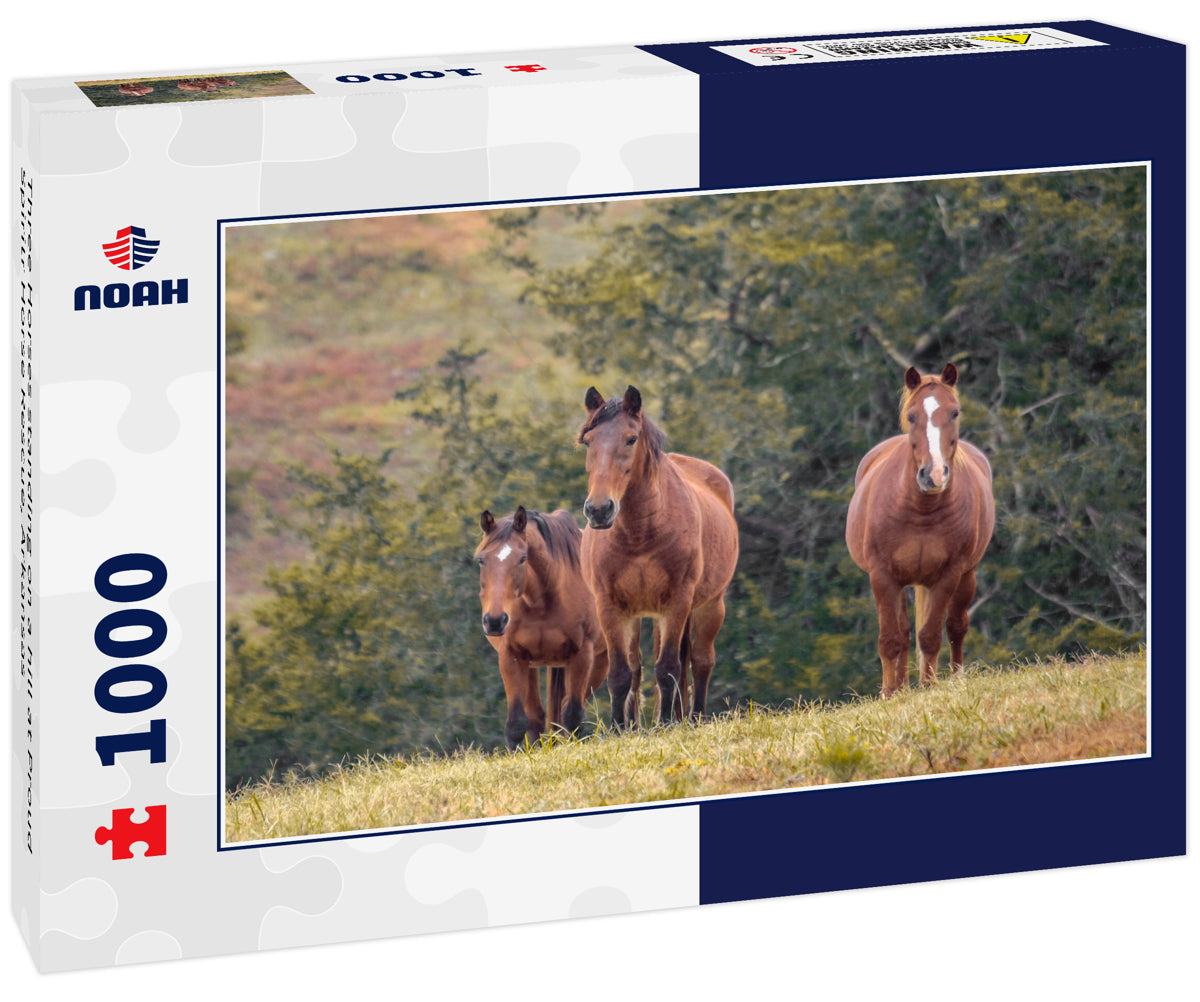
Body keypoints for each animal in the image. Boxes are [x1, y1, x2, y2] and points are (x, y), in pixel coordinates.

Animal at [476, 506, 609, 749]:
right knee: (537, 715)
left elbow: (573, 715)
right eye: (482, 560)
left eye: (522, 558)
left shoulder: (582, 655)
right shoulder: (511, 657)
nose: (495, 621)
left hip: (601, 661)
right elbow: (517, 723)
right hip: (530, 665)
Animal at [578, 385, 739, 725]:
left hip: (710, 605)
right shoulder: (610, 606)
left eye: (631, 438)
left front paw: (666, 723)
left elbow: (667, 669)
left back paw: (693, 718)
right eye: (588, 441)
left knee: (701, 660)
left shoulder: (676, 602)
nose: (599, 510)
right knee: (638, 665)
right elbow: (621, 674)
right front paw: (619, 728)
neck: (640, 534)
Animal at [845, 363, 995, 697]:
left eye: (954, 412)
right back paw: (900, 687)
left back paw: (953, 677)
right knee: (902, 633)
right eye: (912, 416)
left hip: (966, 577)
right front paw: (889, 694)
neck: (920, 510)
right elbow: (892, 638)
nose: (934, 474)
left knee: (956, 627)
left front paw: (928, 686)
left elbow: (930, 635)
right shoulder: (883, 576)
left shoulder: (948, 575)